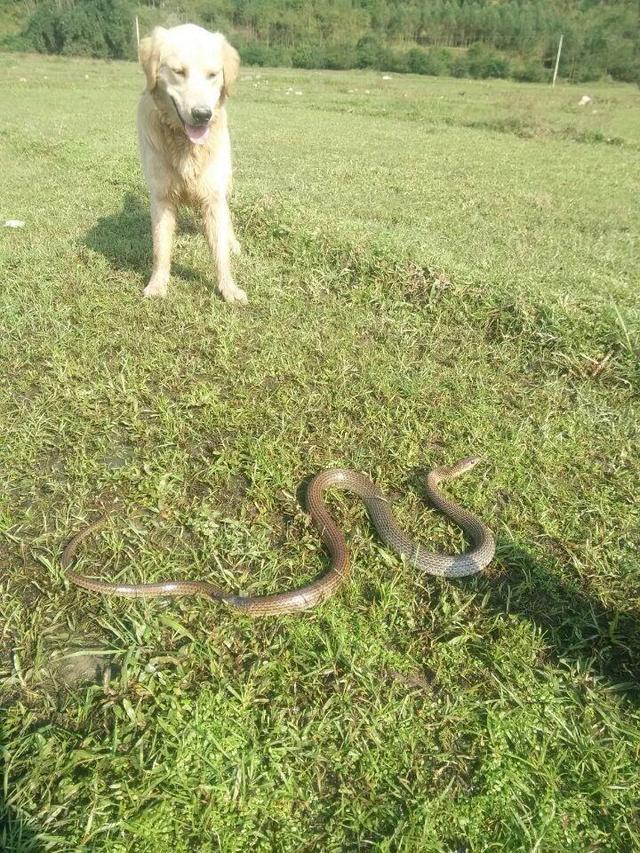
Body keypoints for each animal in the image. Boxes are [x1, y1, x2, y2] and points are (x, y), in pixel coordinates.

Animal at [136, 24, 246, 302]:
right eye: (179, 72)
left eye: (212, 75)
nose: (202, 114)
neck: (185, 145)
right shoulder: (161, 197)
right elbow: (160, 249)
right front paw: (158, 284)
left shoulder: (213, 198)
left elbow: (220, 254)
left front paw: (229, 289)